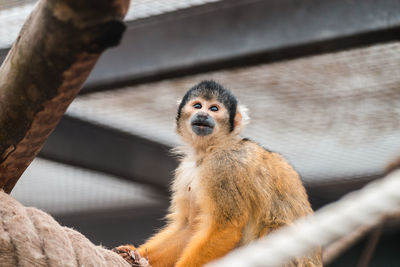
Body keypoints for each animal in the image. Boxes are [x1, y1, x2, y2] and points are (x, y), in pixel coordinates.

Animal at [115, 81, 322, 267]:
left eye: (214, 108)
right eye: (197, 106)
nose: (203, 114)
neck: (209, 150)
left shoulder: (224, 165)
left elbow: (226, 227)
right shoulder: (186, 168)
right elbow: (189, 227)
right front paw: (134, 256)